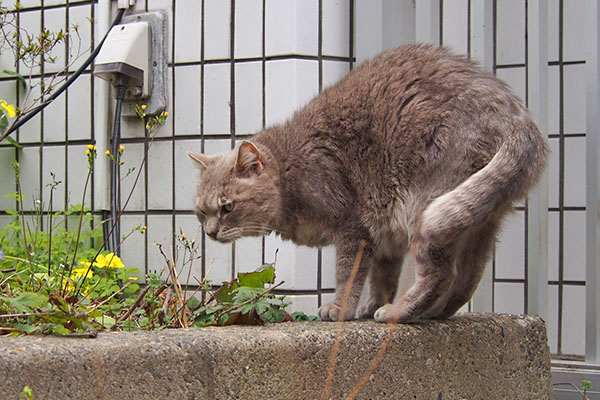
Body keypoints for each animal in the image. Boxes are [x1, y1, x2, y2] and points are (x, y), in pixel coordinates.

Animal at [188, 43, 548, 324]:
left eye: (227, 207)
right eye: (201, 212)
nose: (211, 232)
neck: (291, 170)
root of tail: (518, 116)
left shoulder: (354, 226)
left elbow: (349, 273)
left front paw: (341, 308)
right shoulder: (384, 232)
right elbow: (382, 277)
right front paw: (371, 304)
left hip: (429, 206)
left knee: (441, 273)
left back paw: (400, 312)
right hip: (480, 219)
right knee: (467, 277)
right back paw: (433, 312)